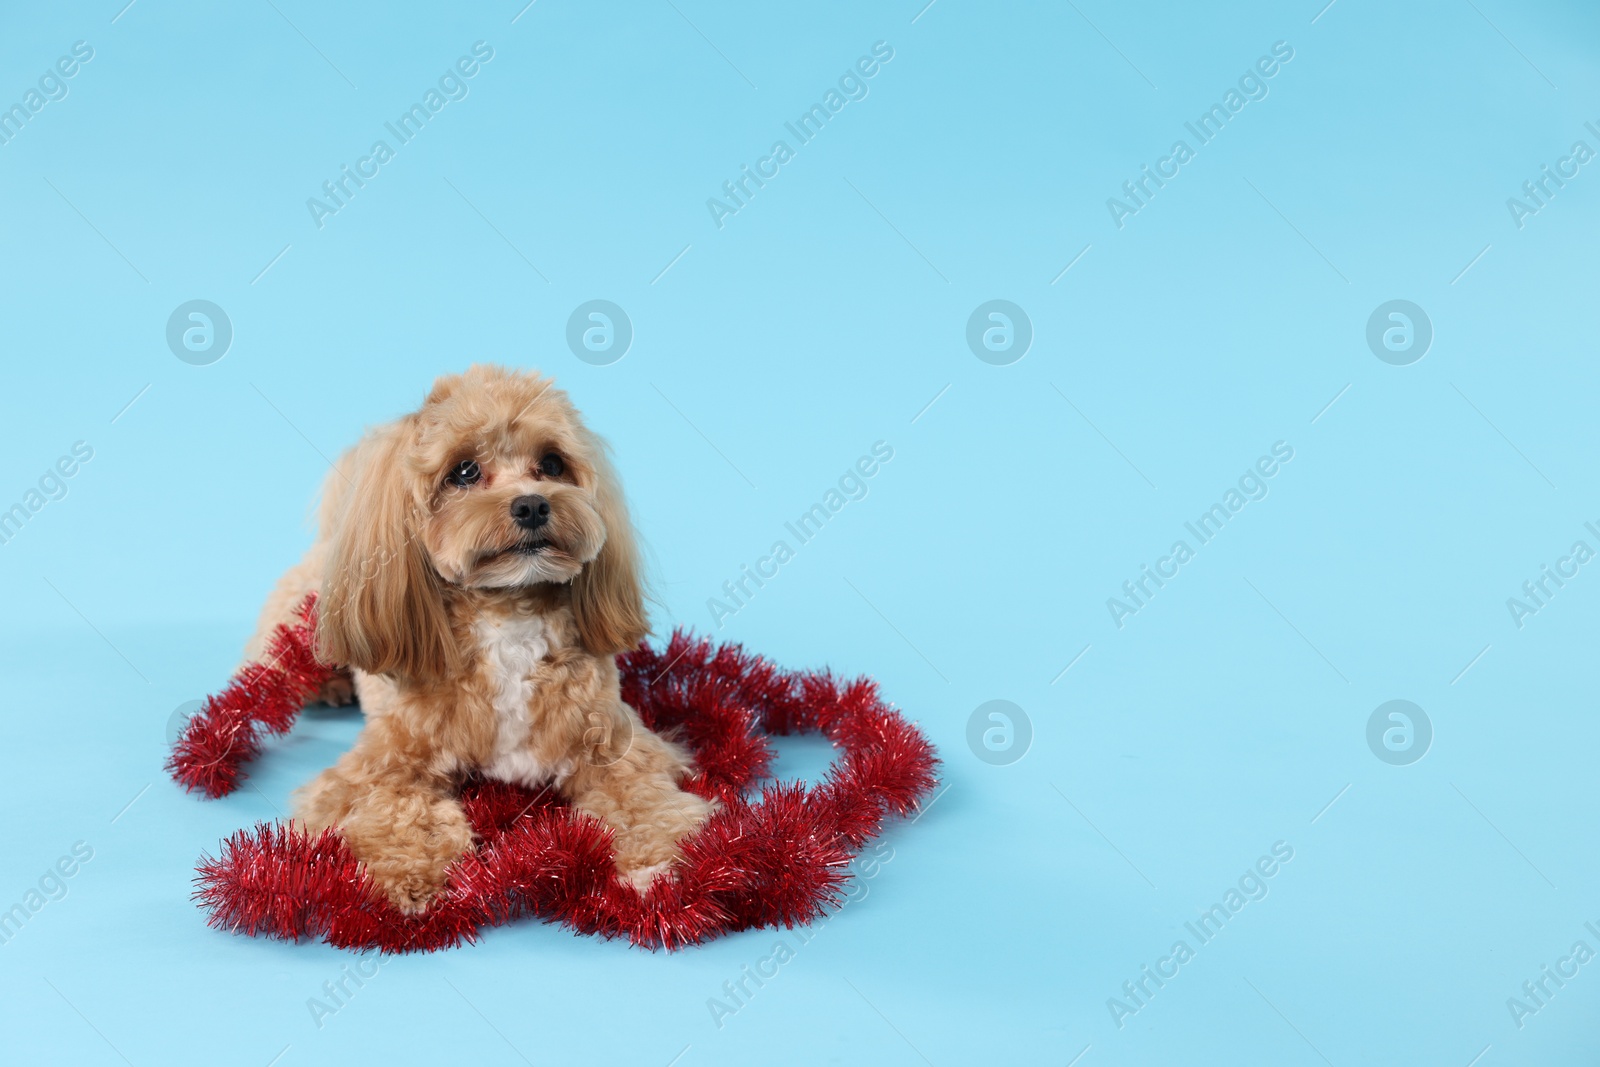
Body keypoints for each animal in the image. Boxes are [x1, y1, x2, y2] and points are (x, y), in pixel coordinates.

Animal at [241, 363, 713, 915]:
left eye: (552, 463)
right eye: (464, 471)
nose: (531, 505)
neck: (507, 614)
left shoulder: (616, 744)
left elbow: (643, 798)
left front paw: (659, 860)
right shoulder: (382, 765)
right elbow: (397, 810)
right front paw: (411, 875)